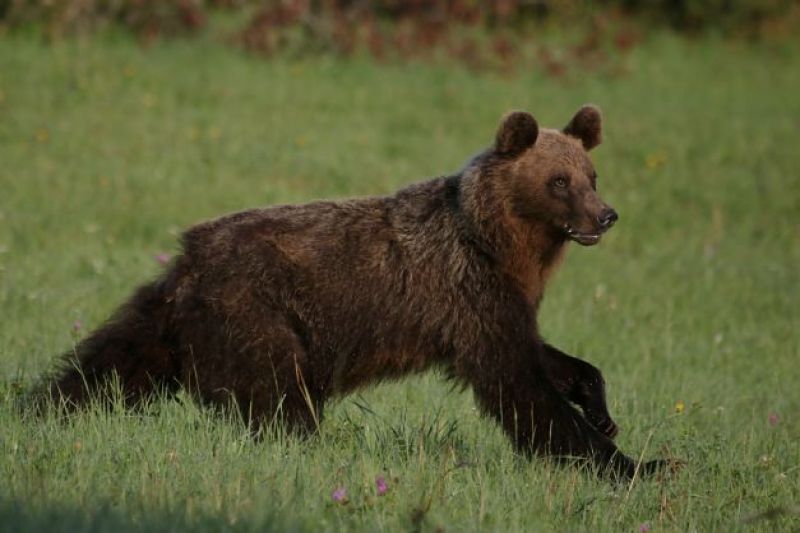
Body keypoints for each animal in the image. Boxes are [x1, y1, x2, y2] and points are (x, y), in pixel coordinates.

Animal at [34, 105, 664, 478]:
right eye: (559, 181)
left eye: (592, 175)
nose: (605, 215)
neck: (503, 244)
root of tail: (187, 258)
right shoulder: (467, 288)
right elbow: (519, 383)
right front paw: (634, 463)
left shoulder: (497, 301)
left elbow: (544, 356)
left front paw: (602, 413)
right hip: (258, 313)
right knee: (279, 399)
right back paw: (307, 449)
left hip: (171, 322)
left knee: (110, 363)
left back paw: (40, 407)